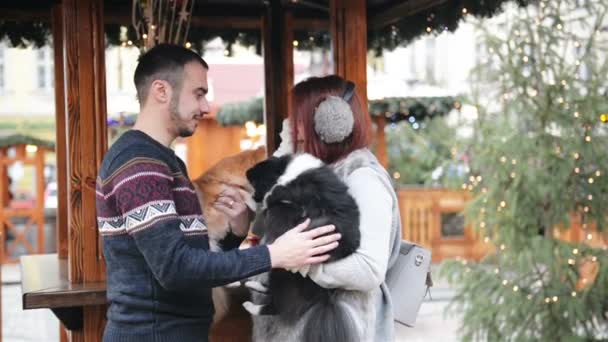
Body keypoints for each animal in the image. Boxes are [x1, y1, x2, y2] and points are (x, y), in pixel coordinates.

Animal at [245, 154, 360, 342]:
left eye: (256, 181)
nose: (247, 173)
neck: (287, 171)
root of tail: (325, 296)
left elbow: (275, 196)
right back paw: (255, 286)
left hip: (285, 275)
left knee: (277, 306)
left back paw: (251, 306)